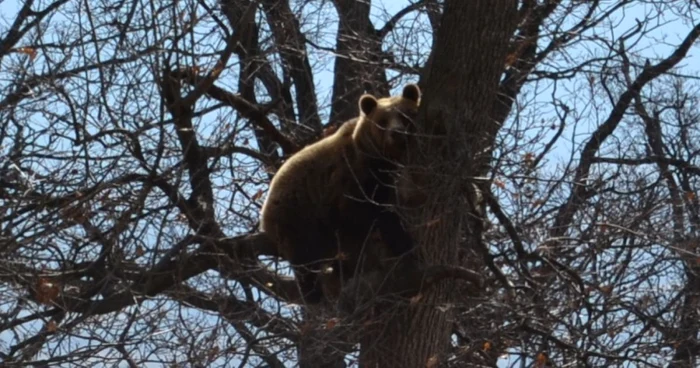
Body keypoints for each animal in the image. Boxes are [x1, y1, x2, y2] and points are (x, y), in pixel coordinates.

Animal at [260, 84, 418, 304]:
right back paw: (313, 293)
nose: (397, 133)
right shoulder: (348, 180)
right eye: (382, 122)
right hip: (296, 216)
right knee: (304, 260)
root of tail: (264, 212)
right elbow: (364, 214)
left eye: (404, 115)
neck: (379, 161)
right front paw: (400, 240)